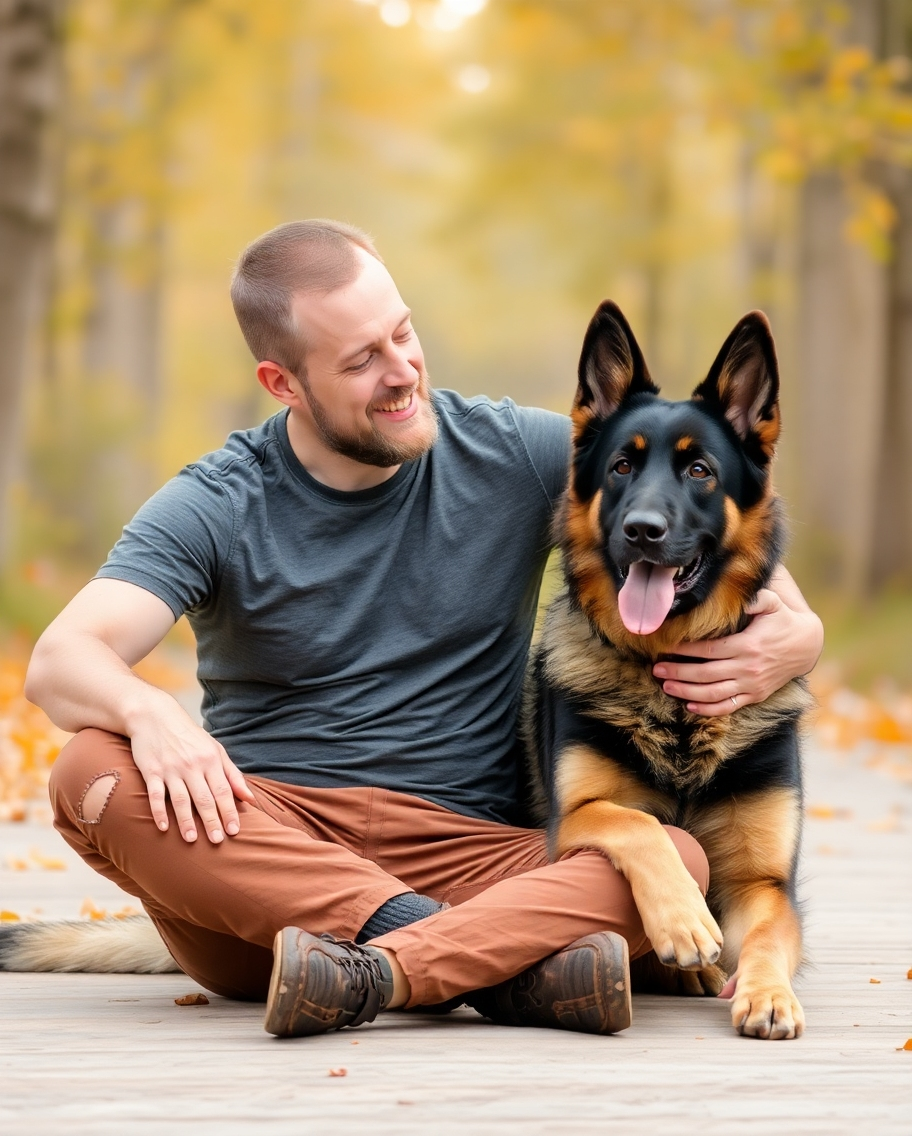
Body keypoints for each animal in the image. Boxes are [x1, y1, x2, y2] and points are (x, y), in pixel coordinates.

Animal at [524, 299, 817, 1040]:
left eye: (701, 471)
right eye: (622, 466)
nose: (643, 531)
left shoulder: (765, 884)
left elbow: (767, 934)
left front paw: (769, 993)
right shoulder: (575, 821)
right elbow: (644, 826)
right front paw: (684, 923)